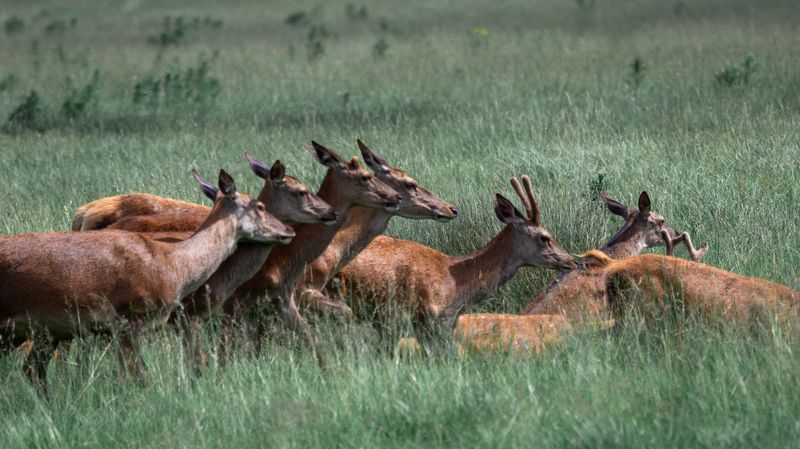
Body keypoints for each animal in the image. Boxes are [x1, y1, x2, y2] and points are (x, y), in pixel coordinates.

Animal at [0, 170, 294, 392]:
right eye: (260, 206)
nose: (288, 231)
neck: (174, 266)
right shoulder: (127, 318)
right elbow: (138, 377)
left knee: (33, 368)